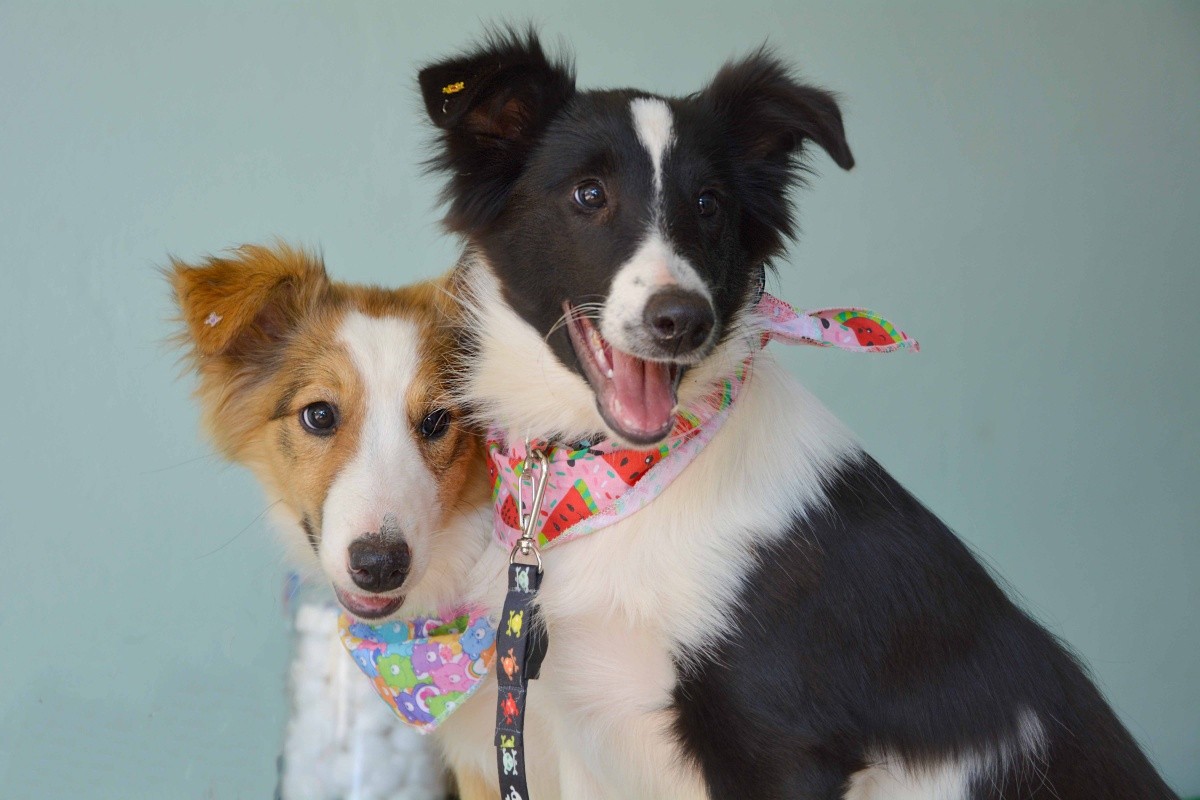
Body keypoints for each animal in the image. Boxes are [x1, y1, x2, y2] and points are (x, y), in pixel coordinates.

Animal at [417, 28, 1176, 796]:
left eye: (708, 203)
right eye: (588, 193)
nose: (682, 320)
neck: (624, 479)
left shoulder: (780, 742)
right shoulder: (578, 731)